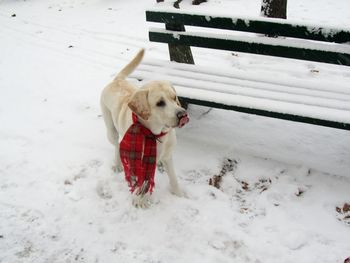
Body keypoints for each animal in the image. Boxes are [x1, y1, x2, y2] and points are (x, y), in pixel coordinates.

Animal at [100, 49, 187, 208]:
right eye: (160, 103)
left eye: (174, 97)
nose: (182, 114)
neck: (157, 135)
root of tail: (117, 80)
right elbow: (143, 181)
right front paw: (139, 199)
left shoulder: (168, 155)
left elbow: (173, 177)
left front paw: (179, 194)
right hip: (110, 130)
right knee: (117, 145)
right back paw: (117, 164)